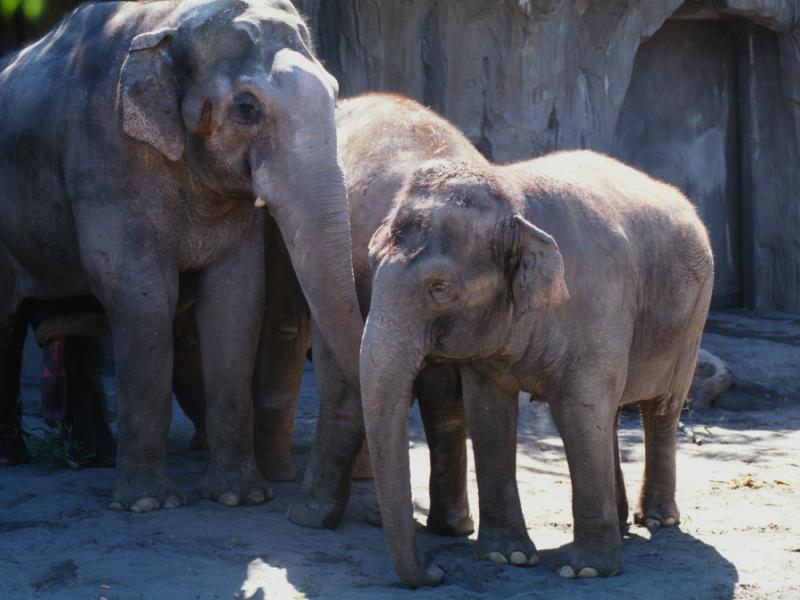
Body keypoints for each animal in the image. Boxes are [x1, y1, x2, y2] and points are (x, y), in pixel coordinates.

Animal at [0, 0, 360, 512]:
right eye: (247, 108)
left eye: (334, 92)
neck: (172, 23)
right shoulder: (106, 159)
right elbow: (142, 295)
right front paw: (148, 504)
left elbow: (235, 297)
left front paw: (240, 497)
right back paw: (13, 458)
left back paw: (95, 457)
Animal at [360, 151, 712, 584]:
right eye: (371, 261)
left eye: (439, 287)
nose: (438, 569)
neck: (512, 197)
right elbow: (489, 415)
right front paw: (505, 557)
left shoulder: (598, 302)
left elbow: (578, 412)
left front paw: (585, 570)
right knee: (612, 413)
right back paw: (622, 520)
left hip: (692, 320)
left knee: (660, 408)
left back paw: (659, 521)